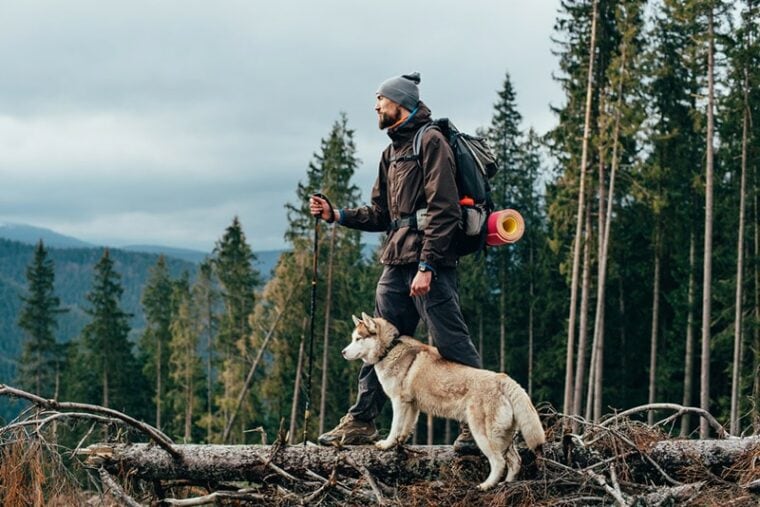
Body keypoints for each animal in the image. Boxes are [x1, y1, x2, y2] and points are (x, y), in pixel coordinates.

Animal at [342, 314, 548, 492]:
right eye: (352, 338)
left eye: (358, 339)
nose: (343, 352)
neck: (389, 349)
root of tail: (503, 378)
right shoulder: (412, 405)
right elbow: (406, 428)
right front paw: (400, 444)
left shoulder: (398, 402)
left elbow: (394, 428)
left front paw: (386, 445)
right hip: (504, 437)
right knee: (516, 461)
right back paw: (505, 485)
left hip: (483, 435)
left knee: (499, 462)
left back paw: (486, 486)